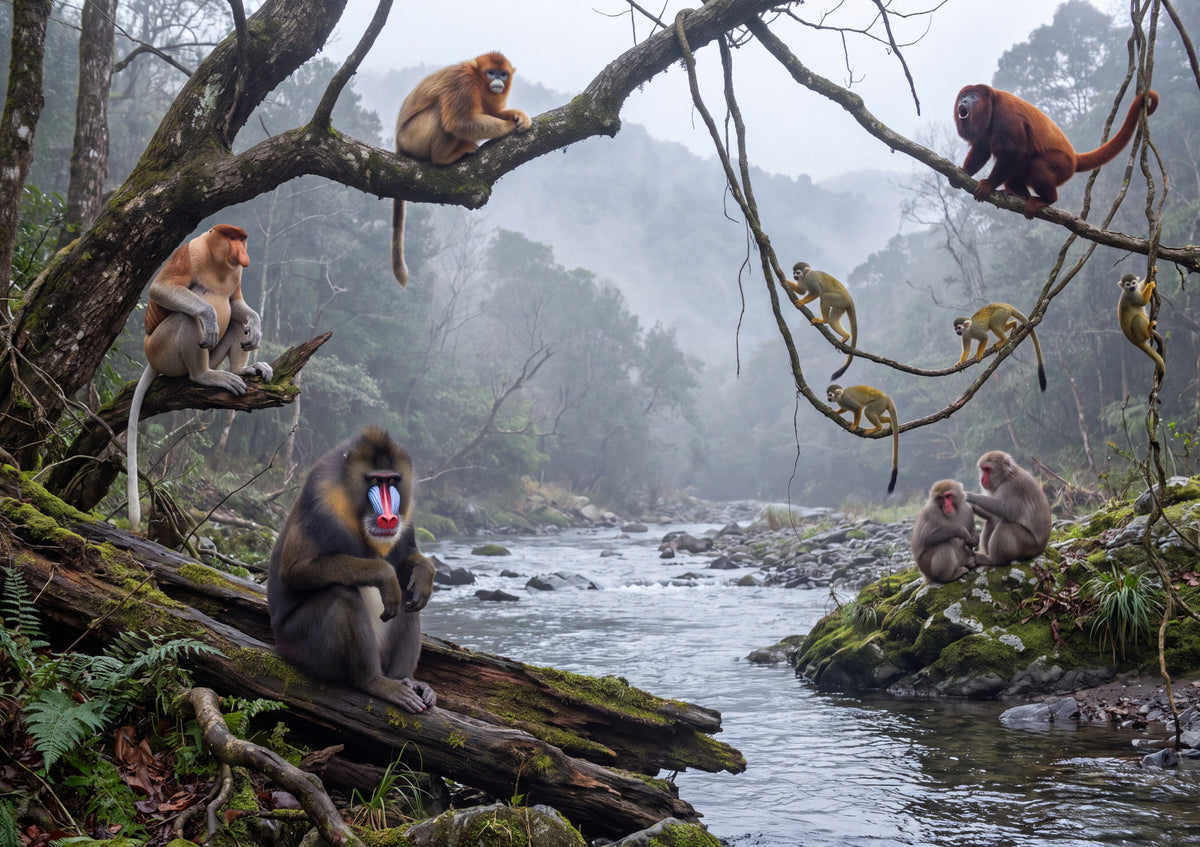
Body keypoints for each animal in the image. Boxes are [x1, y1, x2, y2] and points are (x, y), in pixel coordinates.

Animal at [126, 225, 273, 532]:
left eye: (242, 240)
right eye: (232, 238)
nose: (242, 254)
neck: (217, 262)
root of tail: (150, 358)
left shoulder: (236, 275)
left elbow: (235, 303)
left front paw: (255, 325)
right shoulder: (189, 252)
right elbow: (161, 289)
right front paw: (209, 315)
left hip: (209, 355)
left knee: (237, 323)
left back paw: (242, 370)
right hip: (162, 349)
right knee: (187, 319)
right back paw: (204, 375)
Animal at [268, 427, 437, 714]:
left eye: (392, 481)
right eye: (375, 481)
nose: (389, 518)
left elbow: (406, 562)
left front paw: (425, 572)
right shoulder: (322, 499)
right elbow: (295, 569)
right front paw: (384, 575)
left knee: (408, 595)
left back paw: (407, 680)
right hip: (298, 644)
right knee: (342, 596)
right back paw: (375, 682)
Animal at [391, 52, 532, 288]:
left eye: (502, 74)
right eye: (491, 72)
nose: (498, 80)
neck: (477, 79)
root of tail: (399, 142)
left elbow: (492, 112)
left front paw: (519, 116)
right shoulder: (462, 83)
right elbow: (460, 122)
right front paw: (507, 127)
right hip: (414, 137)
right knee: (442, 112)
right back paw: (445, 157)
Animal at [953, 84, 1159, 219]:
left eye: (973, 97)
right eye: (964, 97)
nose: (964, 100)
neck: (992, 106)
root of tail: (1074, 158)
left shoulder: (1006, 114)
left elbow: (1014, 152)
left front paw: (988, 185)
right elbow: (981, 150)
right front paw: (964, 172)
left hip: (1062, 164)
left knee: (1036, 164)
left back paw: (1047, 199)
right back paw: (1020, 195)